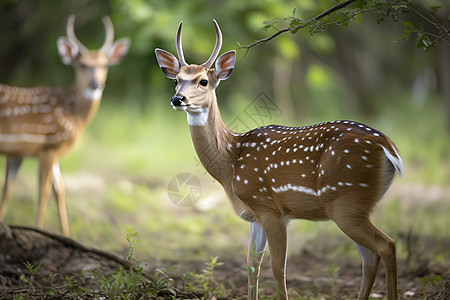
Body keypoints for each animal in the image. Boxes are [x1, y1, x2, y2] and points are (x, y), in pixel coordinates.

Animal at [0, 15, 130, 237]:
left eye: (104, 65)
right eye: (82, 65)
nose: (96, 84)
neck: (74, 115)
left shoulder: (26, 152)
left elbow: (57, 190)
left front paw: (67, 235)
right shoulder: (48, 146)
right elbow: (44, 191)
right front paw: (39, 231)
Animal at [156, 19, 402, 298]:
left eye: (204, 81)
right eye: (176, 80)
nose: (178, 98)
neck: (231, 161)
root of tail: (388, 147)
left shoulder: (269, 207)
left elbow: (278, 267)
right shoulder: (254, 215)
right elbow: (252, 264)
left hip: (345, 199)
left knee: (387, 245)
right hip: (353, 205)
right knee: (369, 258)